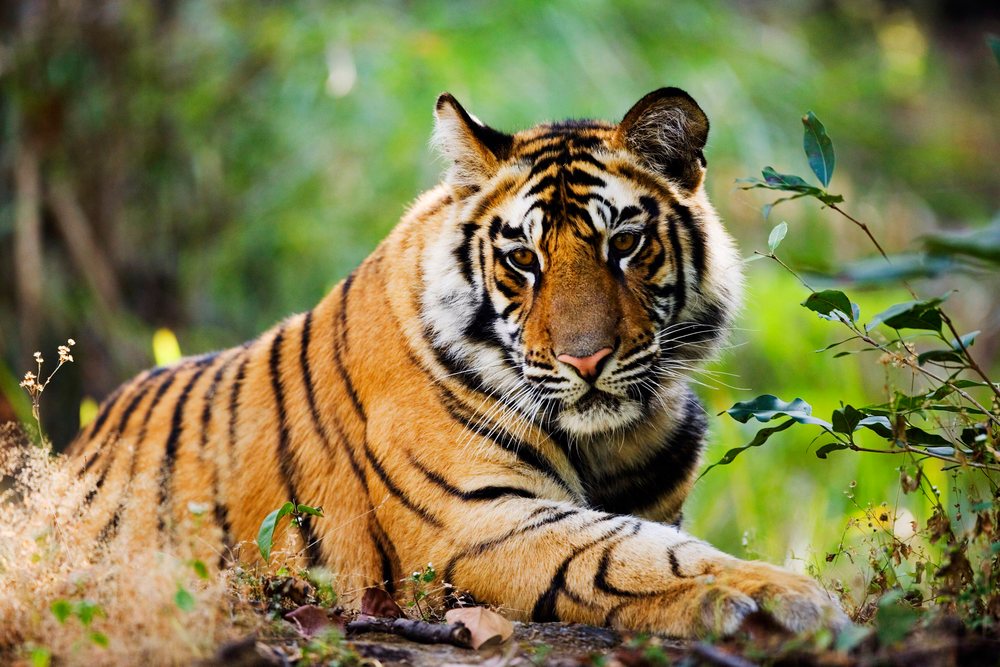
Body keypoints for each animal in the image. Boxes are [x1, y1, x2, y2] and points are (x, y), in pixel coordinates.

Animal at [68, 87, 847, 637]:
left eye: (623, 243)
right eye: (523, 259)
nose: (587, 358)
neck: (612, 442)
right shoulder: (476, 521)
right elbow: (632, 553)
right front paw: (785, 594)